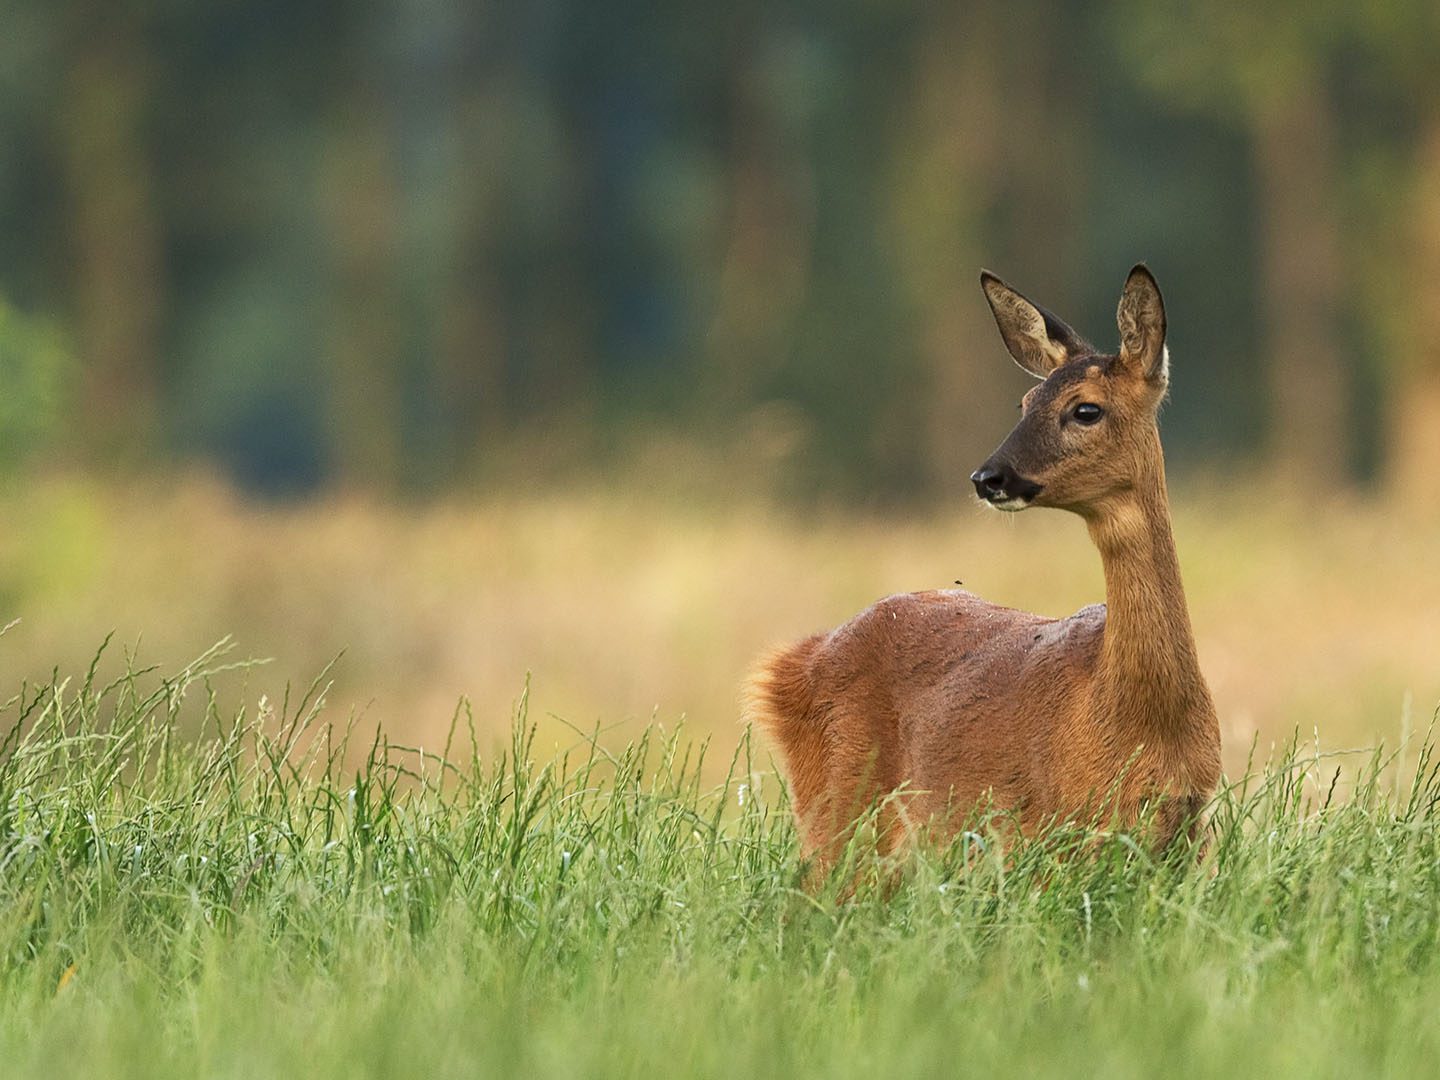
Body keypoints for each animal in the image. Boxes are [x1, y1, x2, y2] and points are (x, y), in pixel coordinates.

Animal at [748, 266, 1221, 875]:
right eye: (1024, 401)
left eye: (1086, 409)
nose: (988, 476)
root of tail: (793, 662)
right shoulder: (1053, 834)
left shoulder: (1190, 832)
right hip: (839, 810)